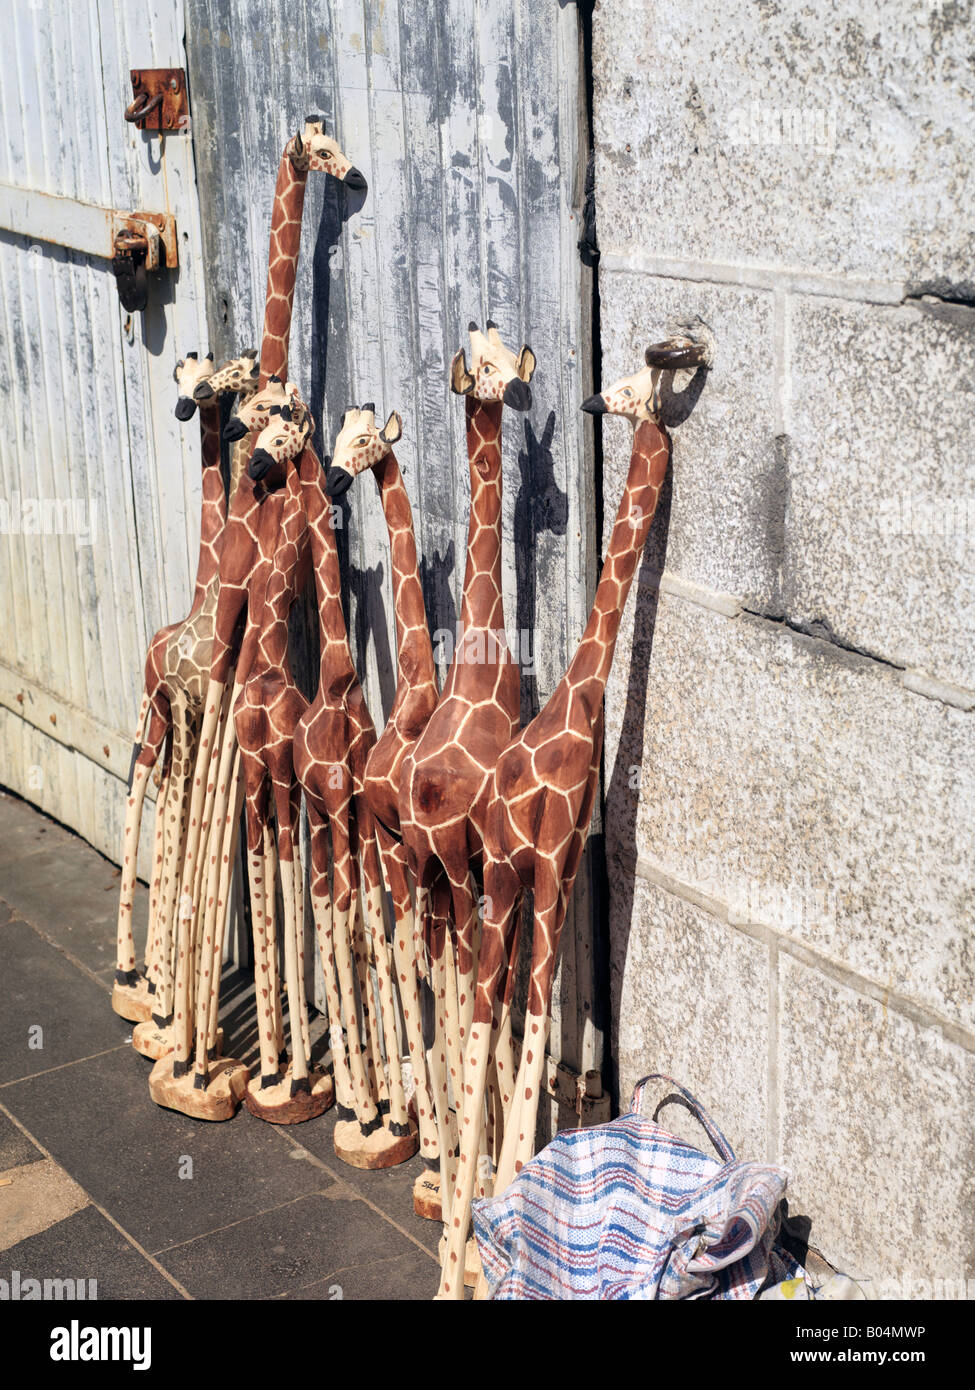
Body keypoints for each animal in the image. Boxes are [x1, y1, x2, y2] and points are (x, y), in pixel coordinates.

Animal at [440, 347, 704, 1298]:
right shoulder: (553, 870)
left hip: (492, 885)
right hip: (514, 882)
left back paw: (460, 1252)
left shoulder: (525, 880)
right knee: (504, 1040)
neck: (577, 701)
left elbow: (505, 1039)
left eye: (626, 389)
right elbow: (530, 1059)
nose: (592, 401)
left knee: (484, 1022)